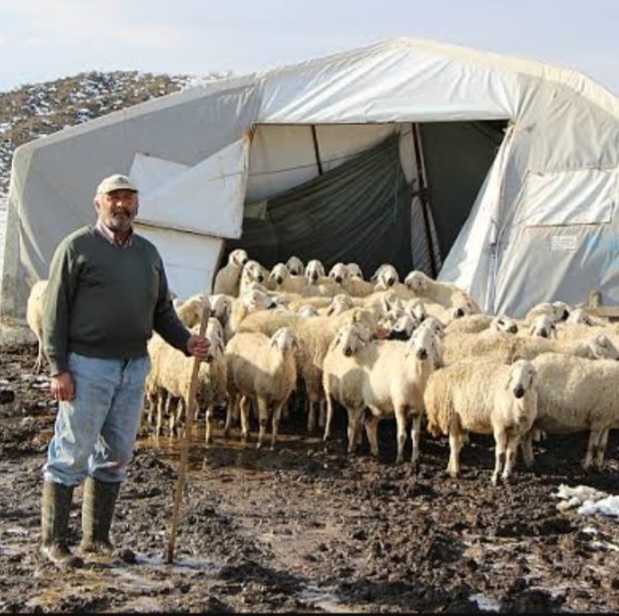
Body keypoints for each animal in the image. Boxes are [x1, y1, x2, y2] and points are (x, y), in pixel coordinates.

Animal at [426, 356, 536, 486]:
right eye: (512, 373)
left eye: (530, 372)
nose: (518, 390)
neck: (518, 401)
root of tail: (439, 373)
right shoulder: (499, 427)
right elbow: (500, 454)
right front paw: (496, 477)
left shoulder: (516, 431)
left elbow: (510, 454)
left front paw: (507, 476)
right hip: (452, 415)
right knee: (453, 445)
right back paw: (456, 471)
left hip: (460, 420)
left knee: (457, 445)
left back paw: (450, 468)